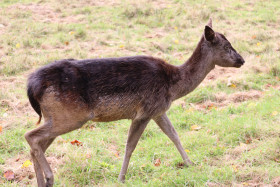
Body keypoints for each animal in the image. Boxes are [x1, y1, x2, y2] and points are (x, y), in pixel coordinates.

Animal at [25, 18, 245, 186]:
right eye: (227, 46)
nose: (242, 60)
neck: (173, 86)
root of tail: (32, 86)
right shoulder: (145, 111)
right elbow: (130, 145)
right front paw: (121, 178)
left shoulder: (158, 110)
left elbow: (174, 135)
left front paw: (191, 164)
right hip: (71, 116)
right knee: (30, 136)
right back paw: (50, 177)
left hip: (54, 116)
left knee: (37, 146)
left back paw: (42, 182)